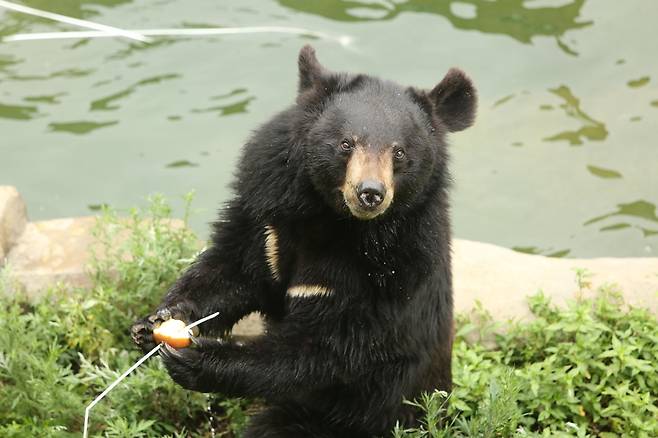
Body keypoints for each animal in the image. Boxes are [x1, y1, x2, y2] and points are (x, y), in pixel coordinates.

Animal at [131, 45, 474, 438]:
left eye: (399, 152)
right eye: (346, 144)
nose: (370, 193)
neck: (333, 220)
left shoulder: (395, 270)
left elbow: (325, 348)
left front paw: (198, 357)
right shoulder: (268, 213)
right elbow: (234, 269)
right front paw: (157, 320)